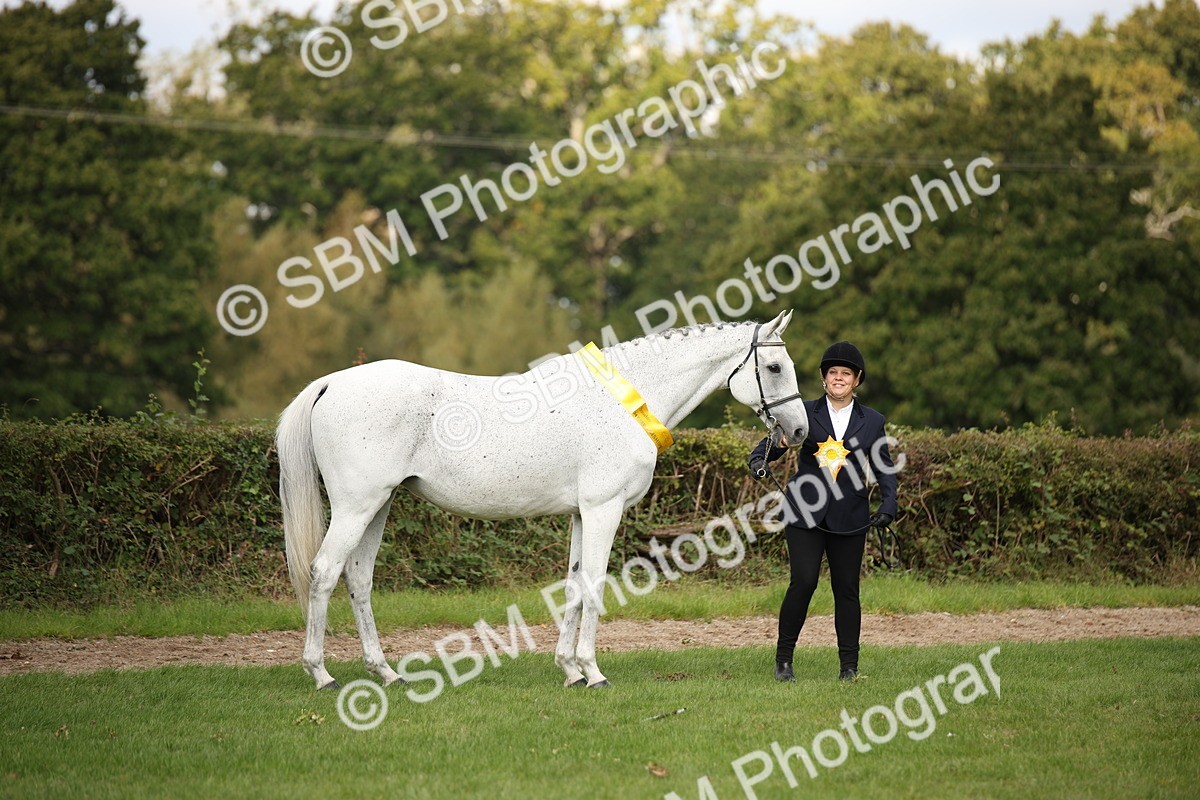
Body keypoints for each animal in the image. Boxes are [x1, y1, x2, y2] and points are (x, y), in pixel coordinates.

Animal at [276, 310, 809, 690]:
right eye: (775, 367)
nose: (801, 431)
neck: (621, 401)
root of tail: (331, 383)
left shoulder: (580, 514)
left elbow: (572, 586)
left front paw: (569, 670)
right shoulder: (602, 508)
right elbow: (594, 585)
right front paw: (594, 672)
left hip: (378, 506)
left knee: (359, 580)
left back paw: (386, 672)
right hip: (356, 507)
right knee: (324, 573)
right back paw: (322, 675)